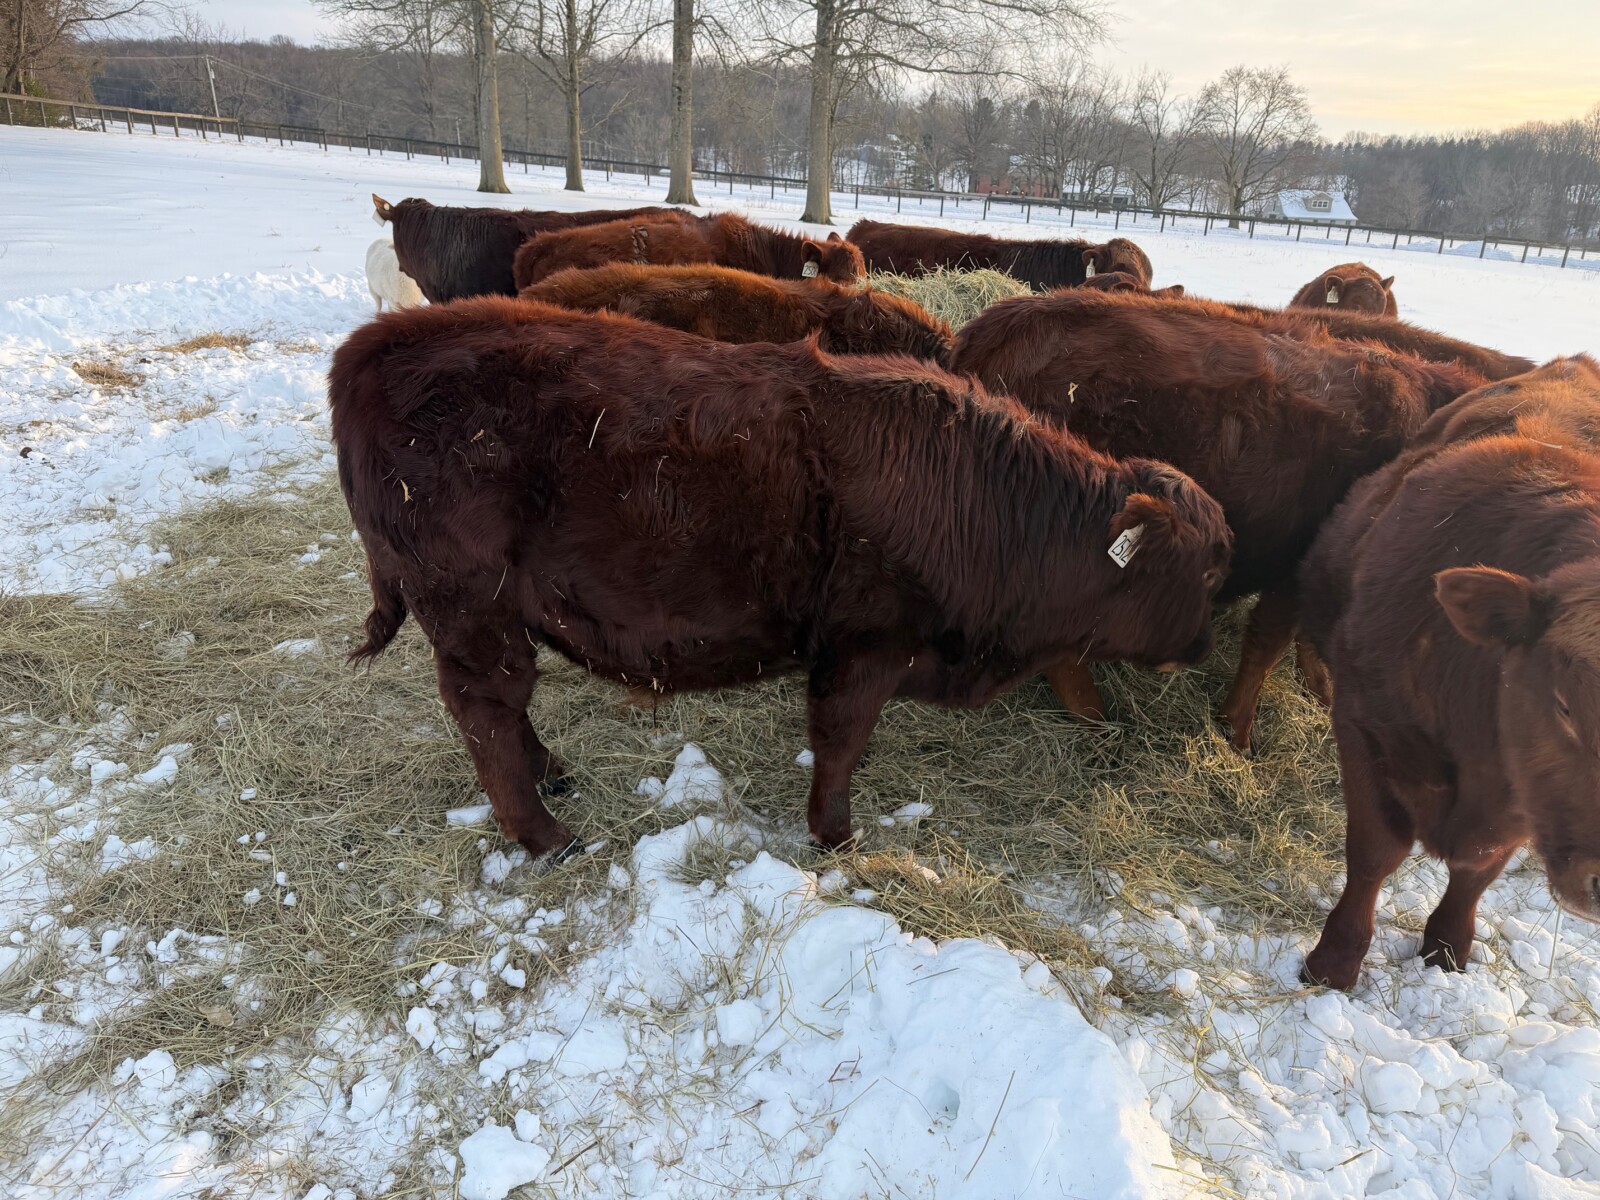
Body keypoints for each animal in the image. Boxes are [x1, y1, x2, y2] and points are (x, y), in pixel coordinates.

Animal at [329, 299, 1231, 858]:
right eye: (1209, 569)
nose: (1204, 646)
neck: (984, 503)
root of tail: (377, 343)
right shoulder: (864, 646)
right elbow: (839, 744)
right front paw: (837, 835)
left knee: (506, 718)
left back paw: (553, 774)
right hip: (470, 613)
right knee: (488, 714)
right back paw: (548, 837)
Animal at [948, 288, 1487, 749]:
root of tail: (993, 329)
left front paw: (1319, 690)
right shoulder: (1294, 568)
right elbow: (1266, 648)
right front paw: (1239, 731)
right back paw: (1098, 719)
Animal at [1297, 357, 1600, 989]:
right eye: (1564, 705)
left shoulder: (1524, 796)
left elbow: (1477, 872)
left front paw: (1447, 948)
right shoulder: (1364, 726)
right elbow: (1375, 851)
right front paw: (1334, 961)